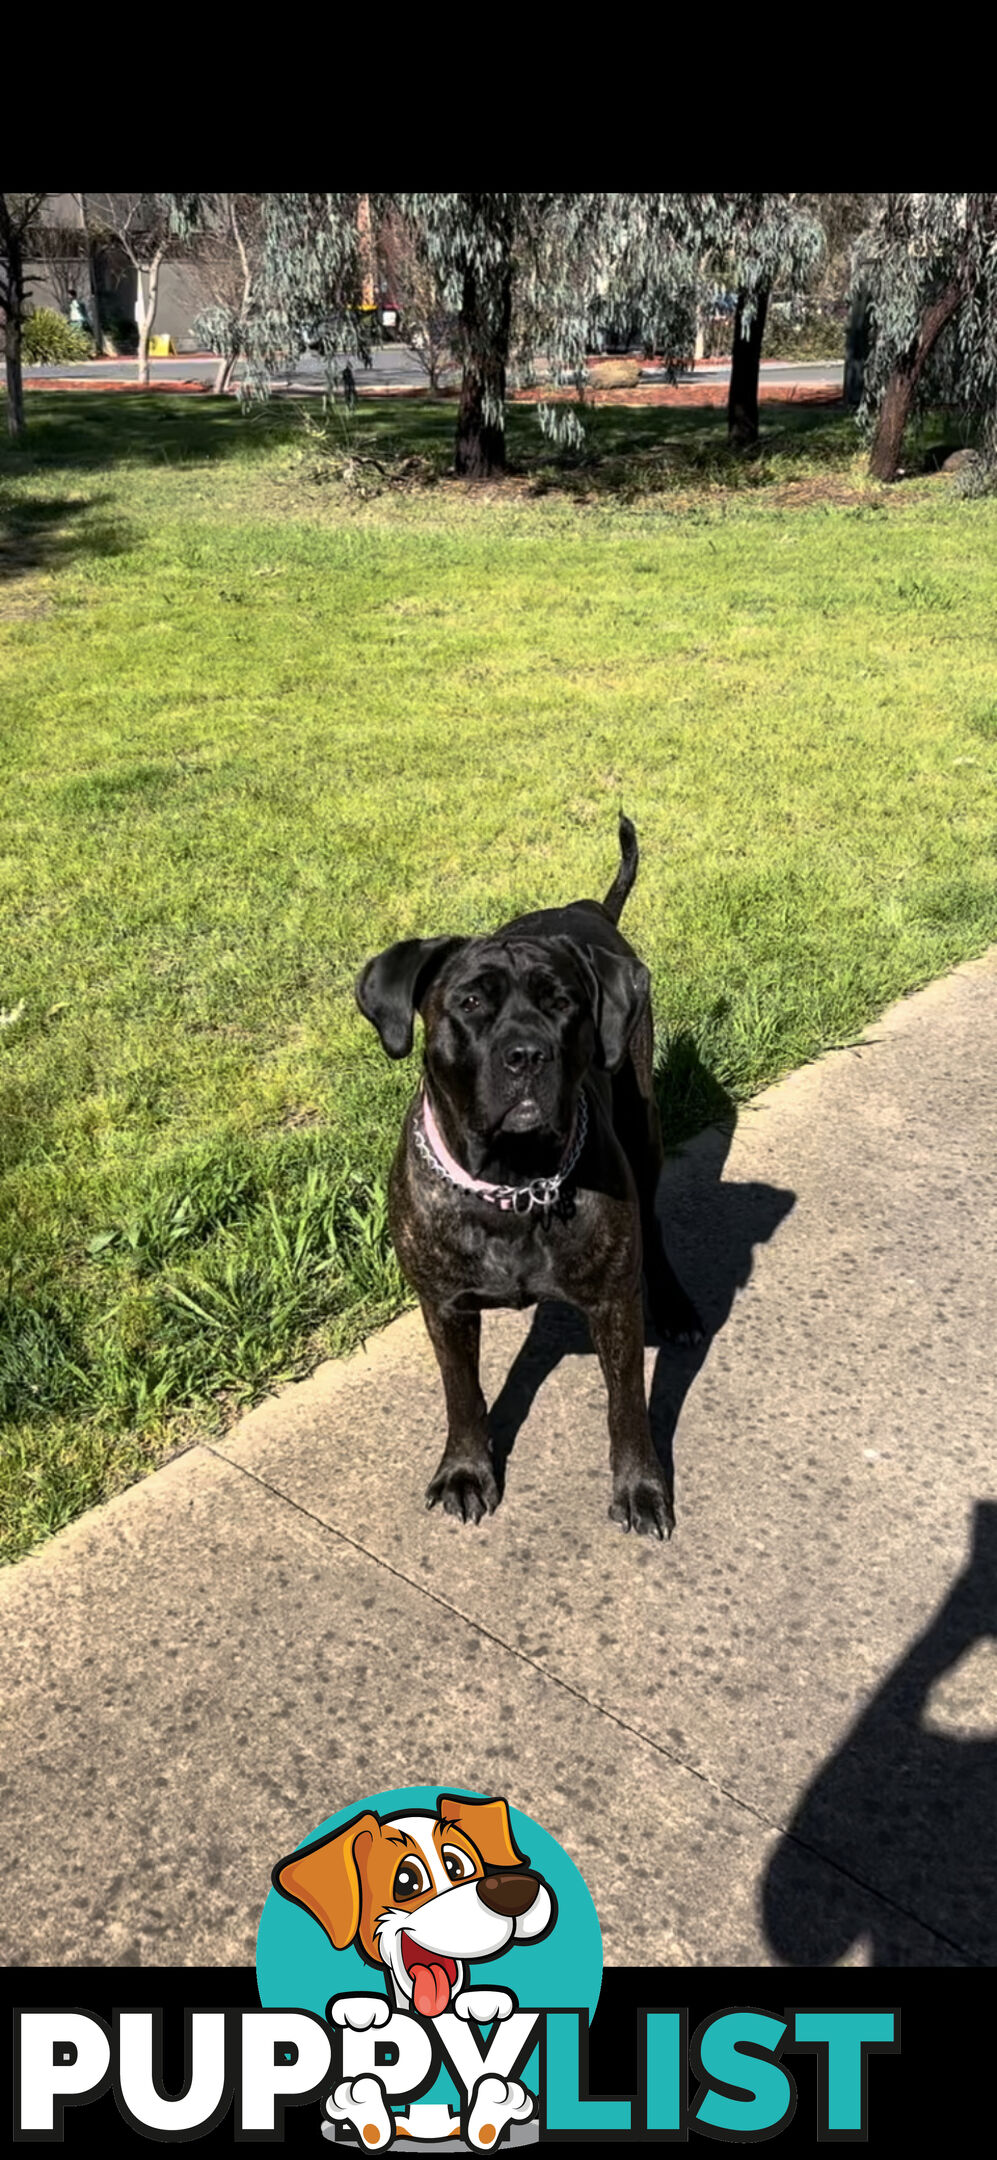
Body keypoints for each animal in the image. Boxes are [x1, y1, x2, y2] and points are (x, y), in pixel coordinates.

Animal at [356, 812, 699, 1537]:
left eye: (563, 1002)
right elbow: (462, 1393)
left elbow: (626, 1404)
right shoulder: (444, 1306)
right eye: (468, 1002)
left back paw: (676, 1305)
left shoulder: (612, 1307)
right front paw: (466, 1469)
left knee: (653, 1226)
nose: (527, 1054)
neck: (514, 1182)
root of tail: (586, 906)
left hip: (643, 1127)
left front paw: (640, 1487)